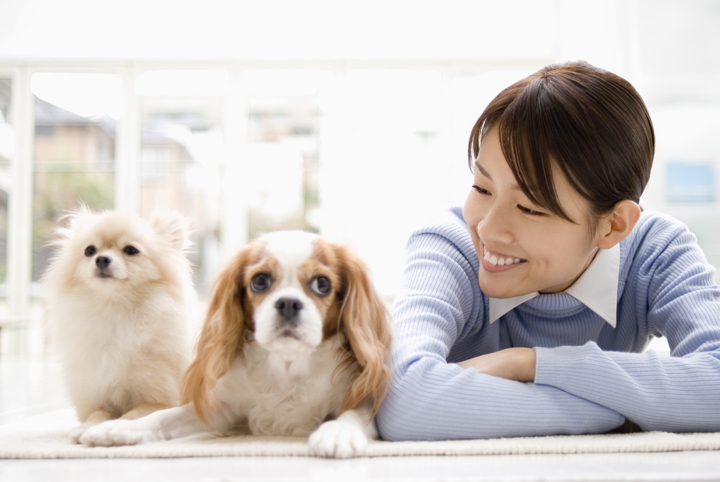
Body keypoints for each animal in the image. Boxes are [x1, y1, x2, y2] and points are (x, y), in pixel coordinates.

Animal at [45, 209, 197, 442]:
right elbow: (98, 414)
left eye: (131, 250)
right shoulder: (97, 396)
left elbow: (131, 416)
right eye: (89, 250)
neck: (116, 313)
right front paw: (87, 427)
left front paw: (110, 430)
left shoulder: (161, 400)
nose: (101, 259)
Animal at [77, 232, 394, 458]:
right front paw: (119, 428)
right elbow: (163, 417)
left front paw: (337, 434)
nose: (288, 303)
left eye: (322, 284)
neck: (287, 366)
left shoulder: (360, 399)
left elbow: (352, 416)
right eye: (260, 281)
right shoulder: (220, 409)